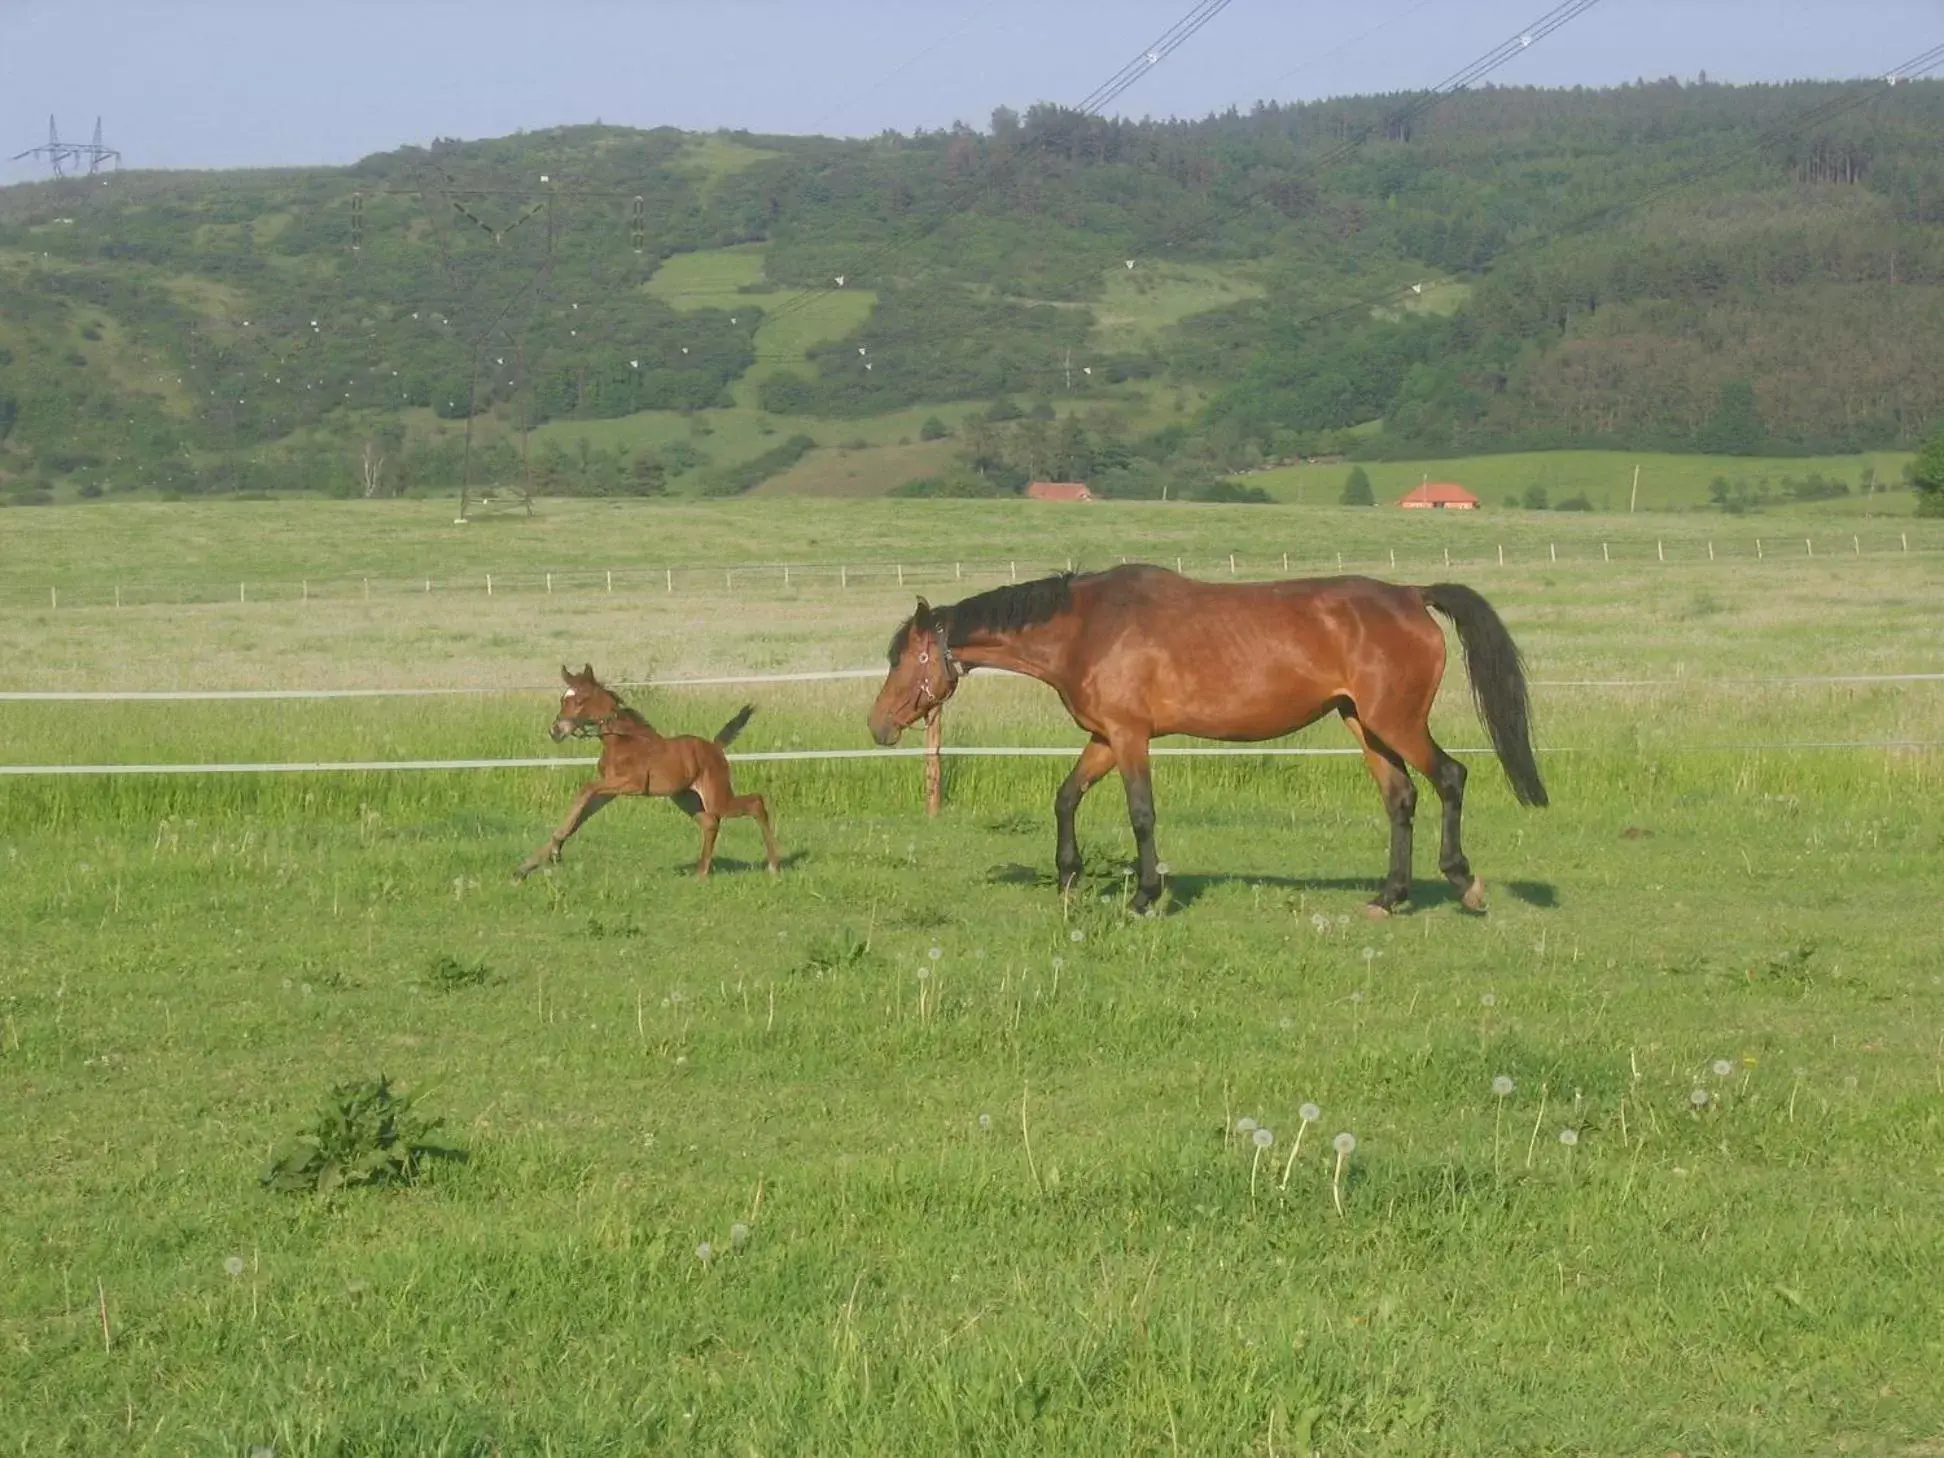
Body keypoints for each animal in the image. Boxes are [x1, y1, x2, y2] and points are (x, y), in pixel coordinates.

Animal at [524, 668, 789, 886]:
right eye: (563, 699)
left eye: (579, 700)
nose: (555, 731)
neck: (621, 740)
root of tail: (715, 747)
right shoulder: (609, 790)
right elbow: (580, 814)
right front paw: (529, 865)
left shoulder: (632, 783)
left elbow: (584, 790)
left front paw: (553, 850)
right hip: (685, 798)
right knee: (711, 823)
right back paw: (701, 873)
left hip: (717, 797)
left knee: (755, 803)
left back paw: (774, 866)